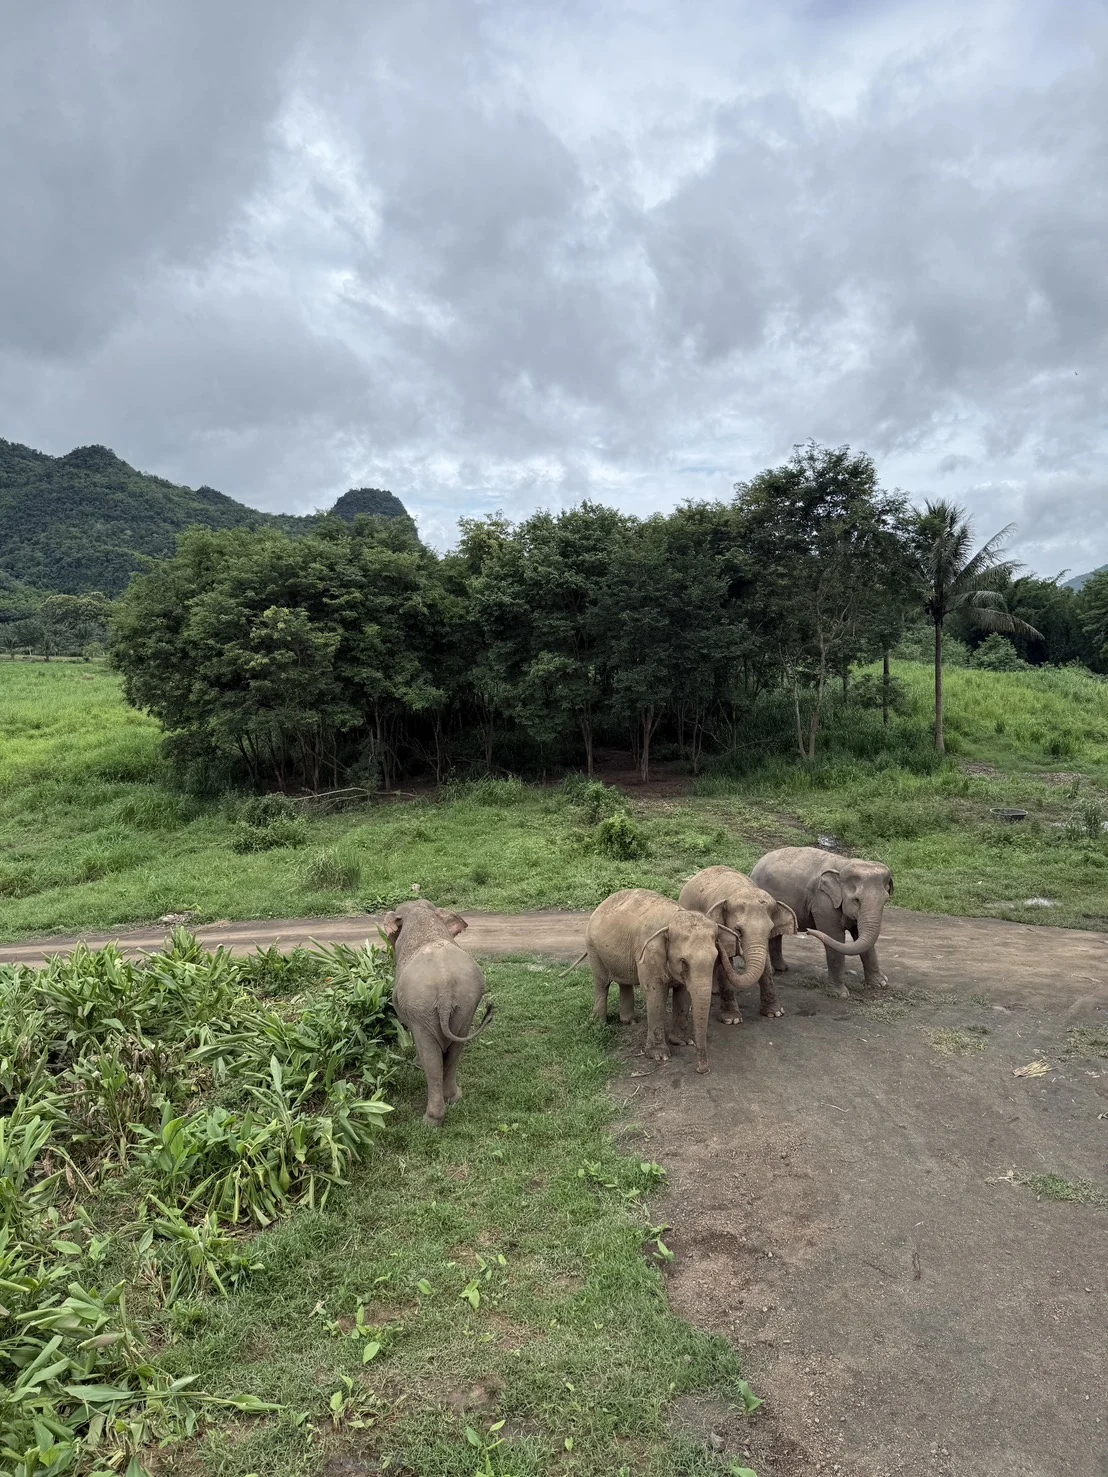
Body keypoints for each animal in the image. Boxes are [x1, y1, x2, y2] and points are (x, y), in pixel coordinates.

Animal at [382, 900, 494, 1127]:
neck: (422, 914)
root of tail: (444, 987)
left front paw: (416, 1063)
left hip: (422, 1008)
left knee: (432, 1059)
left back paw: (431, 1121)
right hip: (466, 1004)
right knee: (455, 1050)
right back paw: (454, 1098)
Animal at [583, 888, 742, 1074]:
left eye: (716, 957)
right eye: (684, 961)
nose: (703, 1070)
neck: (673, 919)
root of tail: (602, 904)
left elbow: (683, 993)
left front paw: (683, 1042)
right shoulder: (647, 955)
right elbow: (655, 993)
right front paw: (659, 1056)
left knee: (624, 982)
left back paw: (629, 1021)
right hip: (593, 948)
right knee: (602, 983)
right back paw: (598, 1024)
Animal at [678, 865, 798, 1024]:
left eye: (770, 930)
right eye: (738, 929)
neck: (740, 889)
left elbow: (765, 963)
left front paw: (775, 1013)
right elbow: (724, 963)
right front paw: (732, 1020)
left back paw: (715, 991)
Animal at [750, 846, 893, 997]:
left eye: (885, 900)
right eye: (856, 900)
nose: (808, 931)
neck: (845, 864)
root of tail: (757, 864)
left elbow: (860, 937)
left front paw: (880, 983)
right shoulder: (823, 902)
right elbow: (835, 936)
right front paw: (840, 994)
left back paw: (782, 968)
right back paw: (773, 971)